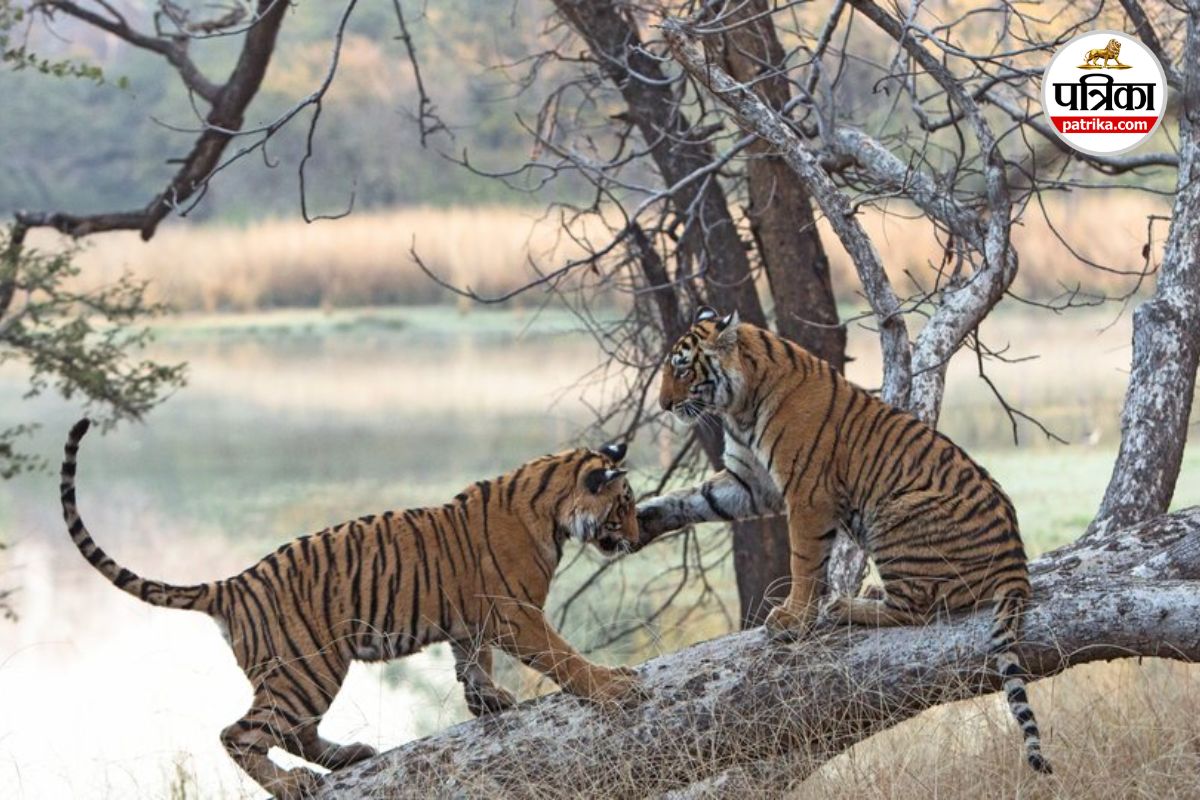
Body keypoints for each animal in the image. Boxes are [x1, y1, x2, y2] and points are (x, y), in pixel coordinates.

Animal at [59, 419, 645, 799]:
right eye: (625, 507)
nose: (638, 539)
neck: (552, 509)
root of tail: (232, 583)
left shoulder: (474, 620)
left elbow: (473, 666)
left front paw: (491, 703)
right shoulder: (515, 612)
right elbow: (564, 656)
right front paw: (614, 687)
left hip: (302, 674)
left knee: (290, 731)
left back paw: (348, 756)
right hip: (307, 669)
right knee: (240, 734)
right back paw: (292, 785)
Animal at [636, 306, 1051, 774]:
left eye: (683, 369)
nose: (664, 405)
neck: (738, 408)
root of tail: (1016, 562)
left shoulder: (806, 493)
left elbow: (802, 560)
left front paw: (793, 619)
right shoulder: (748, 482)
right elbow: (693, 498)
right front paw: (643, 517)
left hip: (893, 513)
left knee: (917, 609)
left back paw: (844, 607)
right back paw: (864, 594)